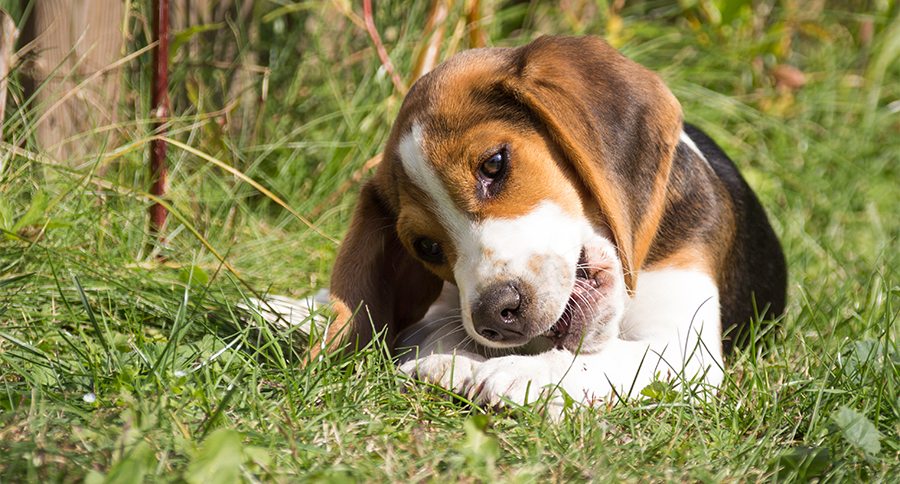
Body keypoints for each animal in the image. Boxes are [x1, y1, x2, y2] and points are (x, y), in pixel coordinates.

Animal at [286, 35, 780, 412]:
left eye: (494, 164)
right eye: (426, 247)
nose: (494, 317)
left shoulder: (685, 351)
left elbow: (605, 359)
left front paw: (517, 372)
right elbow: (430, 331)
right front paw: (453, 362)